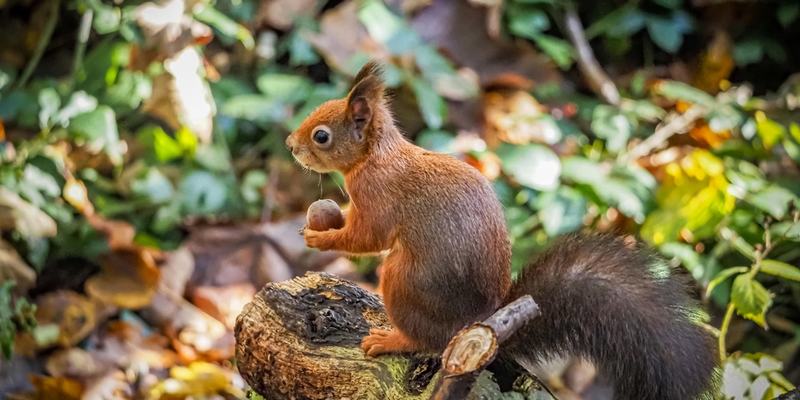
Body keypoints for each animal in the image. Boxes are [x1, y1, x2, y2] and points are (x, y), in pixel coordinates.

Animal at [285, 62, 719, 399]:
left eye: (322, 135)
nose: (290, 143)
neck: (375, 156)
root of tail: (480, 321)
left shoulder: (377, 196)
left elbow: (366, 238)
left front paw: (319, 237)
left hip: (403, 279)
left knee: (426, 338)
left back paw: (391, 339)